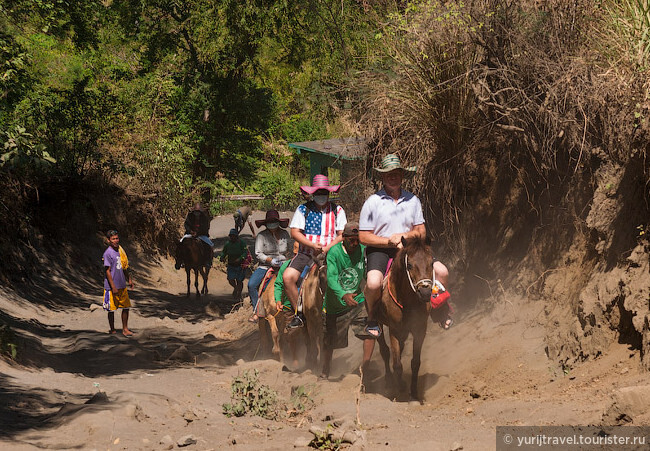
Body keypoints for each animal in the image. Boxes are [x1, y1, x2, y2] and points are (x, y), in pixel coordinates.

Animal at [372, 237, 432, 402]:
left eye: (431, 263)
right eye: (409, 265)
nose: (425, 292)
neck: (408, 302)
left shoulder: (420, 330)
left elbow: (415, 363)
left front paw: (414, 393)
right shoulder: (393, 330)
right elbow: (397, 364)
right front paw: (400, 390)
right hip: (379, 324)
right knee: (385, 351)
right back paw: (388, 380)